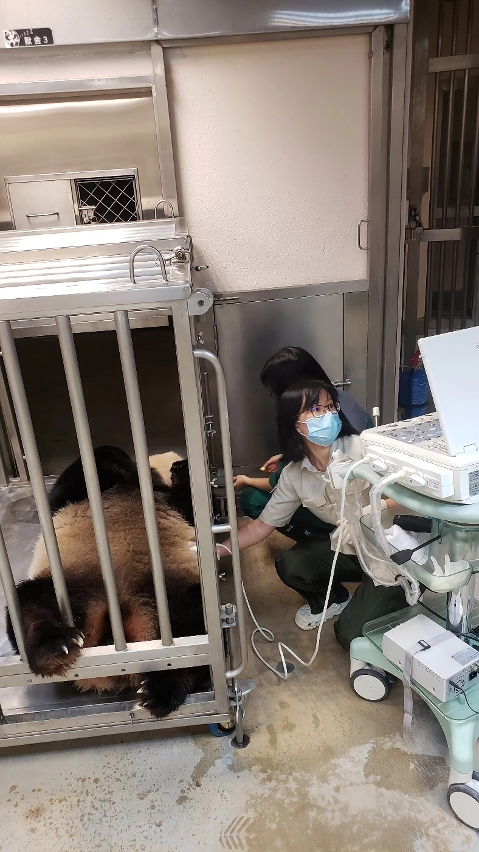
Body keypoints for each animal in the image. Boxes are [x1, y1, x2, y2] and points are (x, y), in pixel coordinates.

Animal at [6, 446, 206, 720]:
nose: (175, 466)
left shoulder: (174, 503)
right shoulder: (79, 497)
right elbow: (65, 489)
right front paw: (124, 462)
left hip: (171, 590)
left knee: (194, 625)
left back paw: (160, 690)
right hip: (71, 586)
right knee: (29, 603)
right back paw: (56, 646)